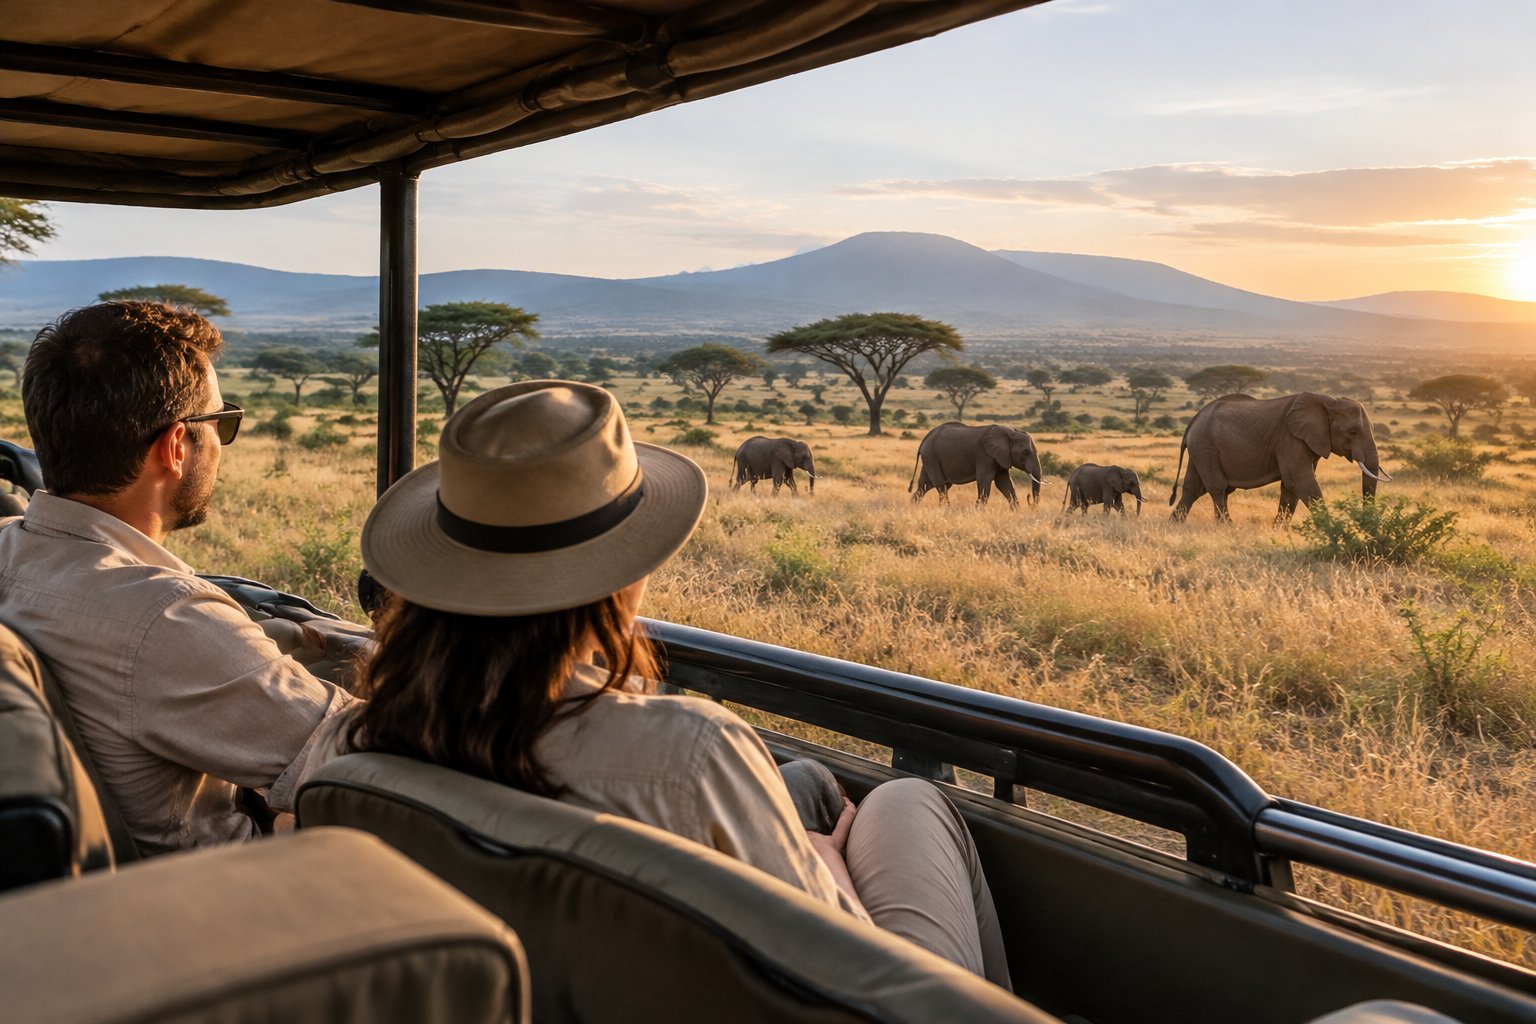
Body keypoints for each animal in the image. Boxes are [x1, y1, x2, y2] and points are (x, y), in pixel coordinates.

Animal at [908, 422, 1043, 509]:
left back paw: (913, 509)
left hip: (930, 458)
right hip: (931, 456)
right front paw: (978, 512)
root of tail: (925, 439)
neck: (1010, 432)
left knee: (925, 486)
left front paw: (1015, 512)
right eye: (1025, 452)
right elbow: (984, 482)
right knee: (941, 486)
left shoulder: (1001, 458)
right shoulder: (985, 455)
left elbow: (1005, 484)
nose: (1029, 498)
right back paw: (945, 510)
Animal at [1169, 392, 1391, 524]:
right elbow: (1300, 481)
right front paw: (1330, 527)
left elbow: (1291, 488)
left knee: (1193, 488)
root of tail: (1194, 419)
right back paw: (1227, 527)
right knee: (1218, 488)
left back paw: (1174, 526)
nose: (1364, 523)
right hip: (1205, 446)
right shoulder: (1290, 439)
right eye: (1353, 431)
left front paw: (1278, 531)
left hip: (1201, 448)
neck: (1329, 402)